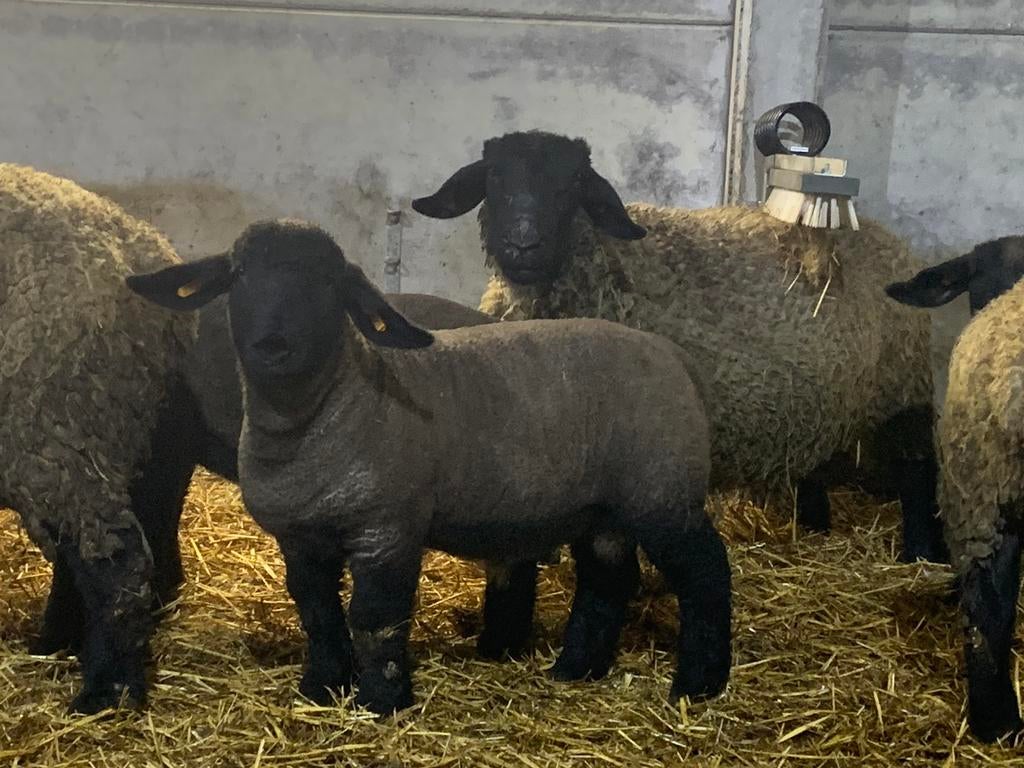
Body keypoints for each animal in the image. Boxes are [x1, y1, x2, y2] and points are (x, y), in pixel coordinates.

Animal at [125, 218, 731, 715]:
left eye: (328, 284)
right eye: (240, 275)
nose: (273, 345)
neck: (327, 411)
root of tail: (676, 358)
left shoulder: (387, 528)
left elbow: (376, 618)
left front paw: (380, 702)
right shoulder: (300, 538)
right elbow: (318, 613)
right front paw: (320, 689)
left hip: (662, 491)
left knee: (706, 570)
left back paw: (698, 685)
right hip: (605, 507)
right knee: (607, 578)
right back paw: (576, 670)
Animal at [412, 130, 943, 564]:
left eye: (573, 183)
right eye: (493, 177)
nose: (523, 244)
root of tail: (890, 241)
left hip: (904, 386)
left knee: (918, 469)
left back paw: (920, 553)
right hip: (822, 400)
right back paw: (815, 525)